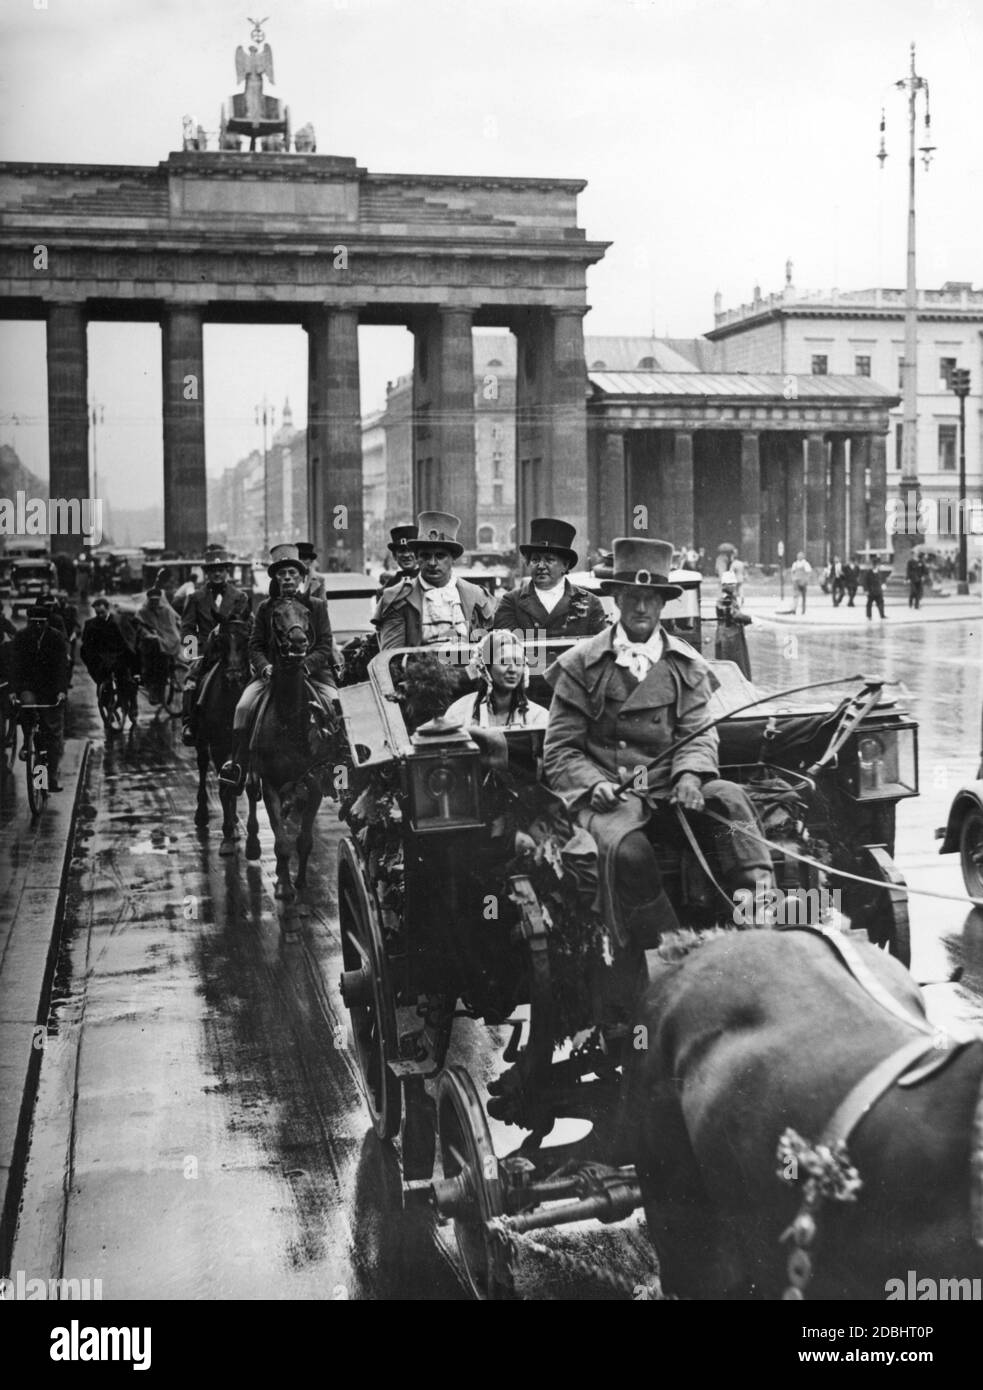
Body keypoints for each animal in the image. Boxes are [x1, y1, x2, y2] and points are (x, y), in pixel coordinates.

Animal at [241, 597, 342, 900]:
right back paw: (253, 845)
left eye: (307, 613)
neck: (290, 717)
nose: (298, 641)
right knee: (250, 793)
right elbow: (281, 841)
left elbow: (304, 838)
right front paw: (284, 886)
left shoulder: (315, 783)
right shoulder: (270, 783)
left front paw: (301, 882)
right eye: (276, 615)